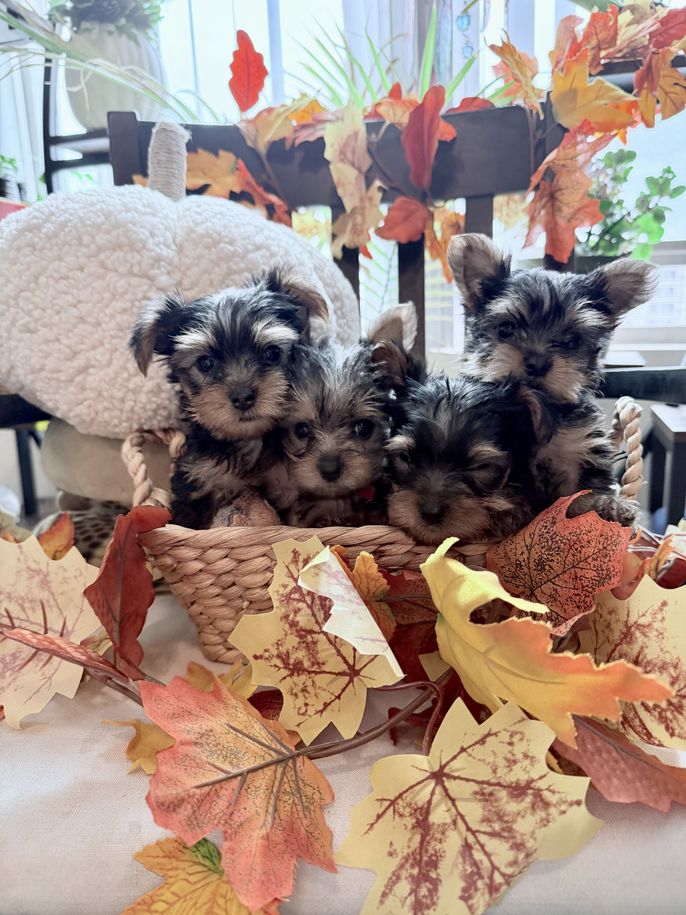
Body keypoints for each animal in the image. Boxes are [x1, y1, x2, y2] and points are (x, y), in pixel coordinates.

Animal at [447, 233, 657, 524]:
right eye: (506, 328)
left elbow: (583, 495)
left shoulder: (577, 452)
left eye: (571, 341)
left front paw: (610, 504)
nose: (537, 362)